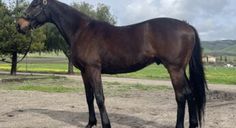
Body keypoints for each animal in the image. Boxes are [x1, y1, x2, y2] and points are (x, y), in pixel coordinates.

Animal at [17, 0, 206, 127]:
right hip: (181, 70)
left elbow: (100, 97)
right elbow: (89, 97)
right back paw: (193, 124)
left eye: (35, 4)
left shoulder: (94, 69)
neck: (81, 30)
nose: (19, 25)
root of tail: (187, 27)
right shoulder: (84, 71)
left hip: (174, 69)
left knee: (181, 96)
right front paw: (90, 123)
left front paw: (106, 124)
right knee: (190, 94)